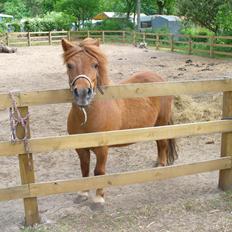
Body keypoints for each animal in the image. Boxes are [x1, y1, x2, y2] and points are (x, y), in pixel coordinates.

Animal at [61, 38, 178, 205]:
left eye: (95, 64)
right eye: (69, 65)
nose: (83, 93)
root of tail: (159, 78)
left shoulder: (103, 149)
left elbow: (99, 171)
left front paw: (99, 197)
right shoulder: (80, 148)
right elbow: (84, 168)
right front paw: (83, 193)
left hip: (161, 123)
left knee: (162, 144)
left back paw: (160, 167)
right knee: (159, 144)